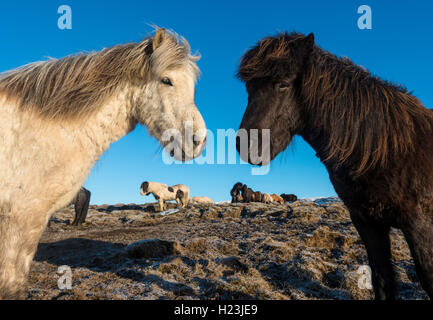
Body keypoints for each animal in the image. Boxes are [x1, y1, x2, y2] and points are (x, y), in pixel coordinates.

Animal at [236, 31, 432, 300]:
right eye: (249, 88)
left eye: (283, 83)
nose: (244, 145)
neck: (388, 150)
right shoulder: (368, 224)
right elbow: (383, 280)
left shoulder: (419, 225)